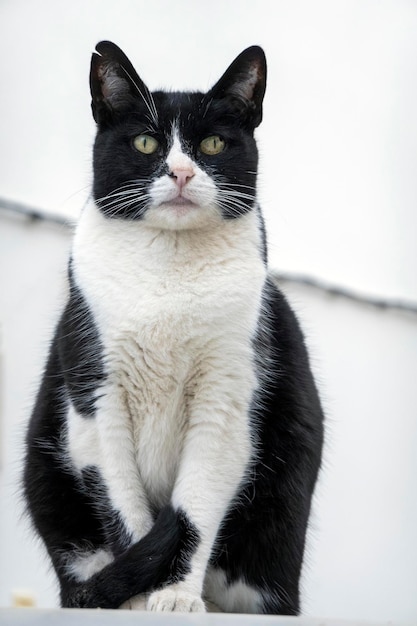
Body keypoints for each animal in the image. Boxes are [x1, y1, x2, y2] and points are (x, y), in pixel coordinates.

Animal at [22, 41, 324, 612]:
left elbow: (195, 510)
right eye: (145, 142)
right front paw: (140, 601)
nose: (181, 173)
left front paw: (176, 595)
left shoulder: (227, 398)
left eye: (212, 143)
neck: (169, 265)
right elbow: (124, 510)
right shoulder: (95, 398)